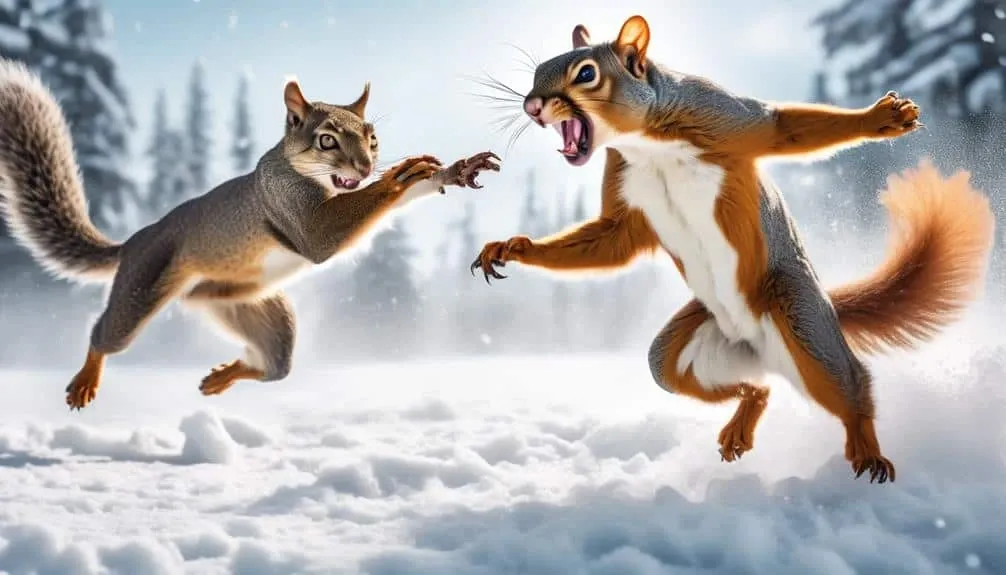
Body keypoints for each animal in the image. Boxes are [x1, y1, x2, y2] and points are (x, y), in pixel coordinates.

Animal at [0, 59, 500, 411]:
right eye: (326, 140)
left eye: (372, 137)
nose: (364, 167)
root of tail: (133, 242)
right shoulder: (299, 217)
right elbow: (332, 229)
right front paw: (401, 174)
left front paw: (452, 171)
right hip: (142, 287)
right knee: (104, 335)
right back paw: (86, 380)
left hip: (256, 311)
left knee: (272, 366)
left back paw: (222, 375)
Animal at [471, 15, 995, 484]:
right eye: (539, 69)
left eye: (586, 74)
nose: (531, 105)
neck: (645, 144)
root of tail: (758, 345)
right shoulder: (623, 192)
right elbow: (612, 240)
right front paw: (512, 248)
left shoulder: (723, 116)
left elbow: (779, 127)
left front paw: (883, 117)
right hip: (684, 347)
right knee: (751, 387)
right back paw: (742, 422)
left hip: (801, 320)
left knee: (851, 384)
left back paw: (867, 450)